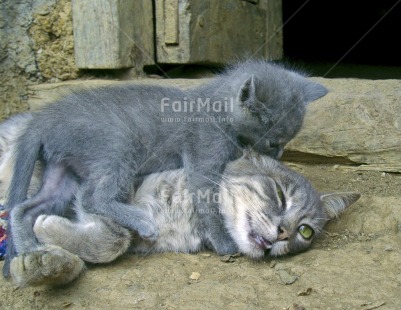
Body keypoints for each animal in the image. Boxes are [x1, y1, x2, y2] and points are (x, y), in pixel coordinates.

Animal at [3, 60, 328, 276]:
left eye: (287, 141)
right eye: (274, 142)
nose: (280, 155)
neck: (215, 111)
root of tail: (43, 119)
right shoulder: (203, 159)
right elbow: (208, 204)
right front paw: (224, 244)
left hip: (62, 174)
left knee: (22, 208)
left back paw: (29, 249)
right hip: (119, 145)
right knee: (93, 197)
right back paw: (141, 221)